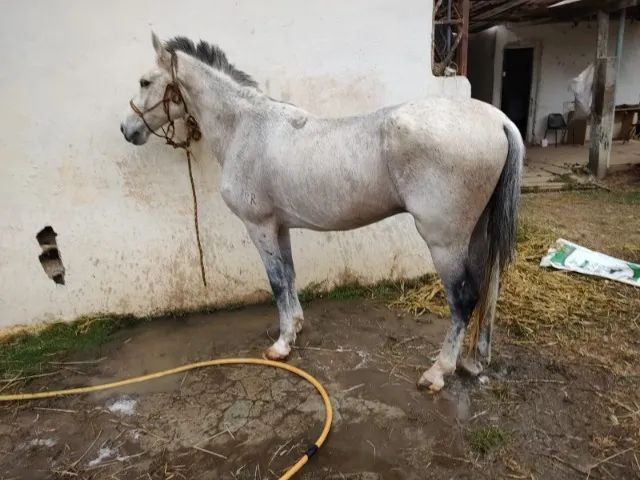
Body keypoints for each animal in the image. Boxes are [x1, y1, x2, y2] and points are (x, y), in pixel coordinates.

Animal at [120, 33, 523, 392]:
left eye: (145, 81)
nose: (127, 129)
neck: (245, 127)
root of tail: (498, 120)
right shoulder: (279, 227)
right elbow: (290, 275)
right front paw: (296, 327)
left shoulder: (259, 226)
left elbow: (277, 281)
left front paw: (281, 345)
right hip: (478, 231)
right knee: (490, 285)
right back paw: (475, 360)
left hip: (445, 241)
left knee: (463, 298)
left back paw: (439, 371)